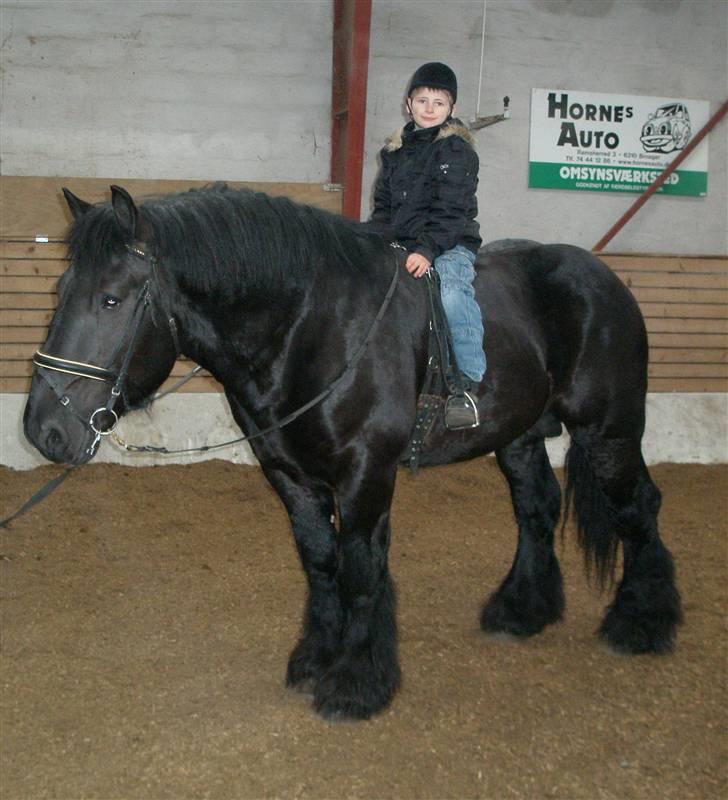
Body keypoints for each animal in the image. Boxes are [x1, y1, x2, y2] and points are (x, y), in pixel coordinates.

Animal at [24, 186, 684, 720]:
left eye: (111, 300)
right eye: (61, 289)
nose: (41, 428)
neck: (309, 327)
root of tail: (603, 279)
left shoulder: (366, 473)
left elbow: (361, 569)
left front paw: (356, 682)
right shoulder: (290, 475)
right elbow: (321, 562)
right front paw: (316, 657)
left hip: (609, 431)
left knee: (639, 509)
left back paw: (642, 621)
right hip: (518, 438)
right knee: (538, 509)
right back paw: (522, 609)